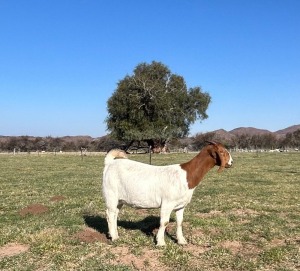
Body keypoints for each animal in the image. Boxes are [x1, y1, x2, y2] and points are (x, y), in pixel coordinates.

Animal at [102, 142, 233, 246]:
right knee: (110, 214)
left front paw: (181, 241)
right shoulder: (167, 203)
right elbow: (164, 222)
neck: (187, 176)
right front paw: (160, 242)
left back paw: (115, 235)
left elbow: (180, 222)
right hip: (111, 194)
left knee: (115, 214)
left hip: (120, 199)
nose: (232, 162)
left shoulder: (181, 205)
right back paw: (114, 237)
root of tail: (110, 163)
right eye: (222, 152)